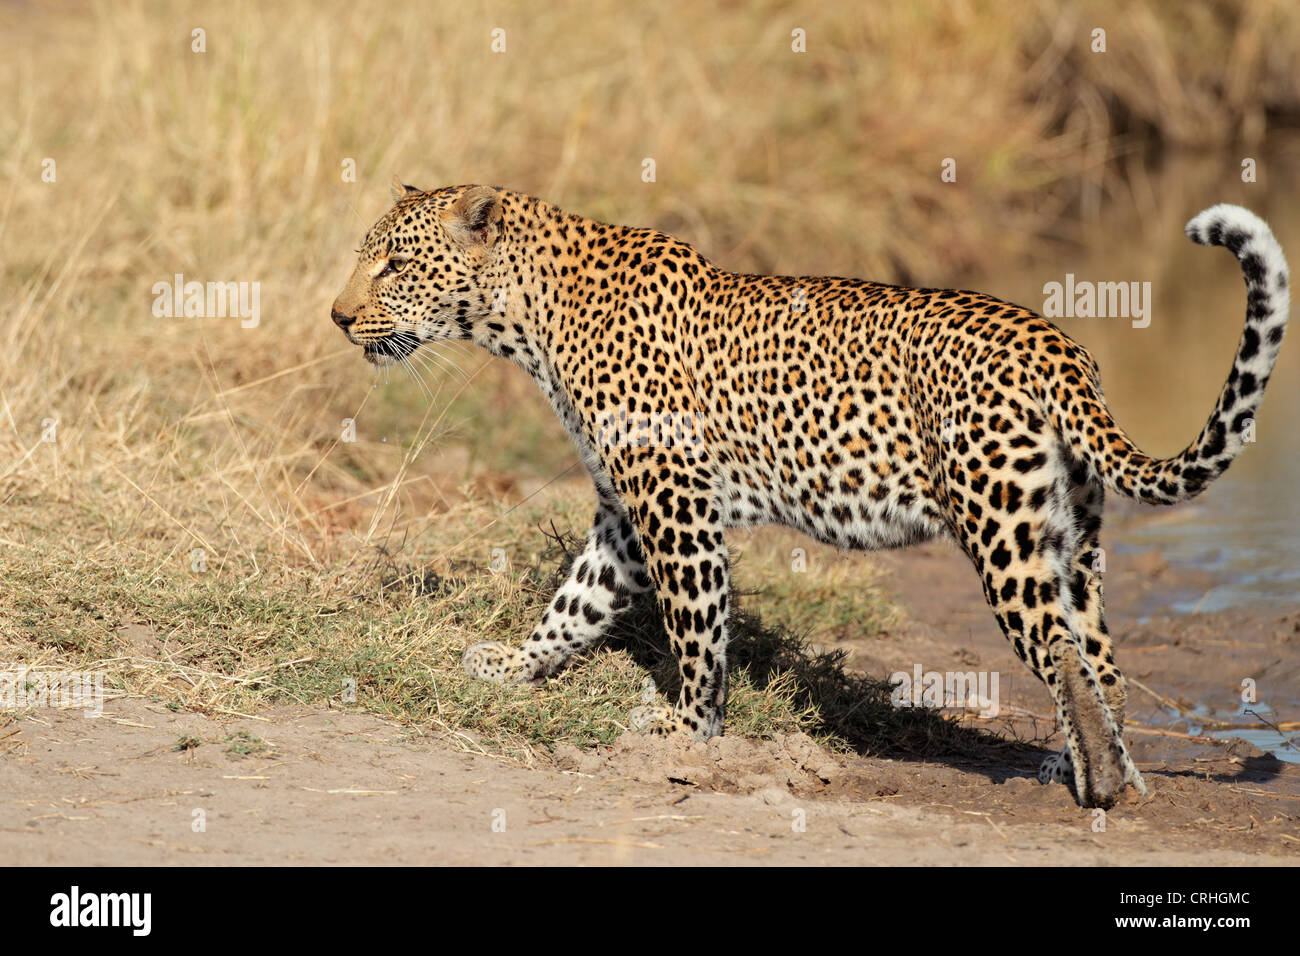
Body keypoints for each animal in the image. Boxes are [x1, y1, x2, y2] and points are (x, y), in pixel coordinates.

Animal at [330, 179, 1284, 806]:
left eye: (393, 264)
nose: (338, 317)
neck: (526, 319)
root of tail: (1060, 348)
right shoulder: (625, 512)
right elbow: (575, 601)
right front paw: (512, 665)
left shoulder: (673, 500)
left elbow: (695, 623)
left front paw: (689, 731)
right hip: (1068, 536)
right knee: (1100, 656)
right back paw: (1106, 773)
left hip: (1001, 529)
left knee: (1061, 651)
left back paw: (1097, 785)